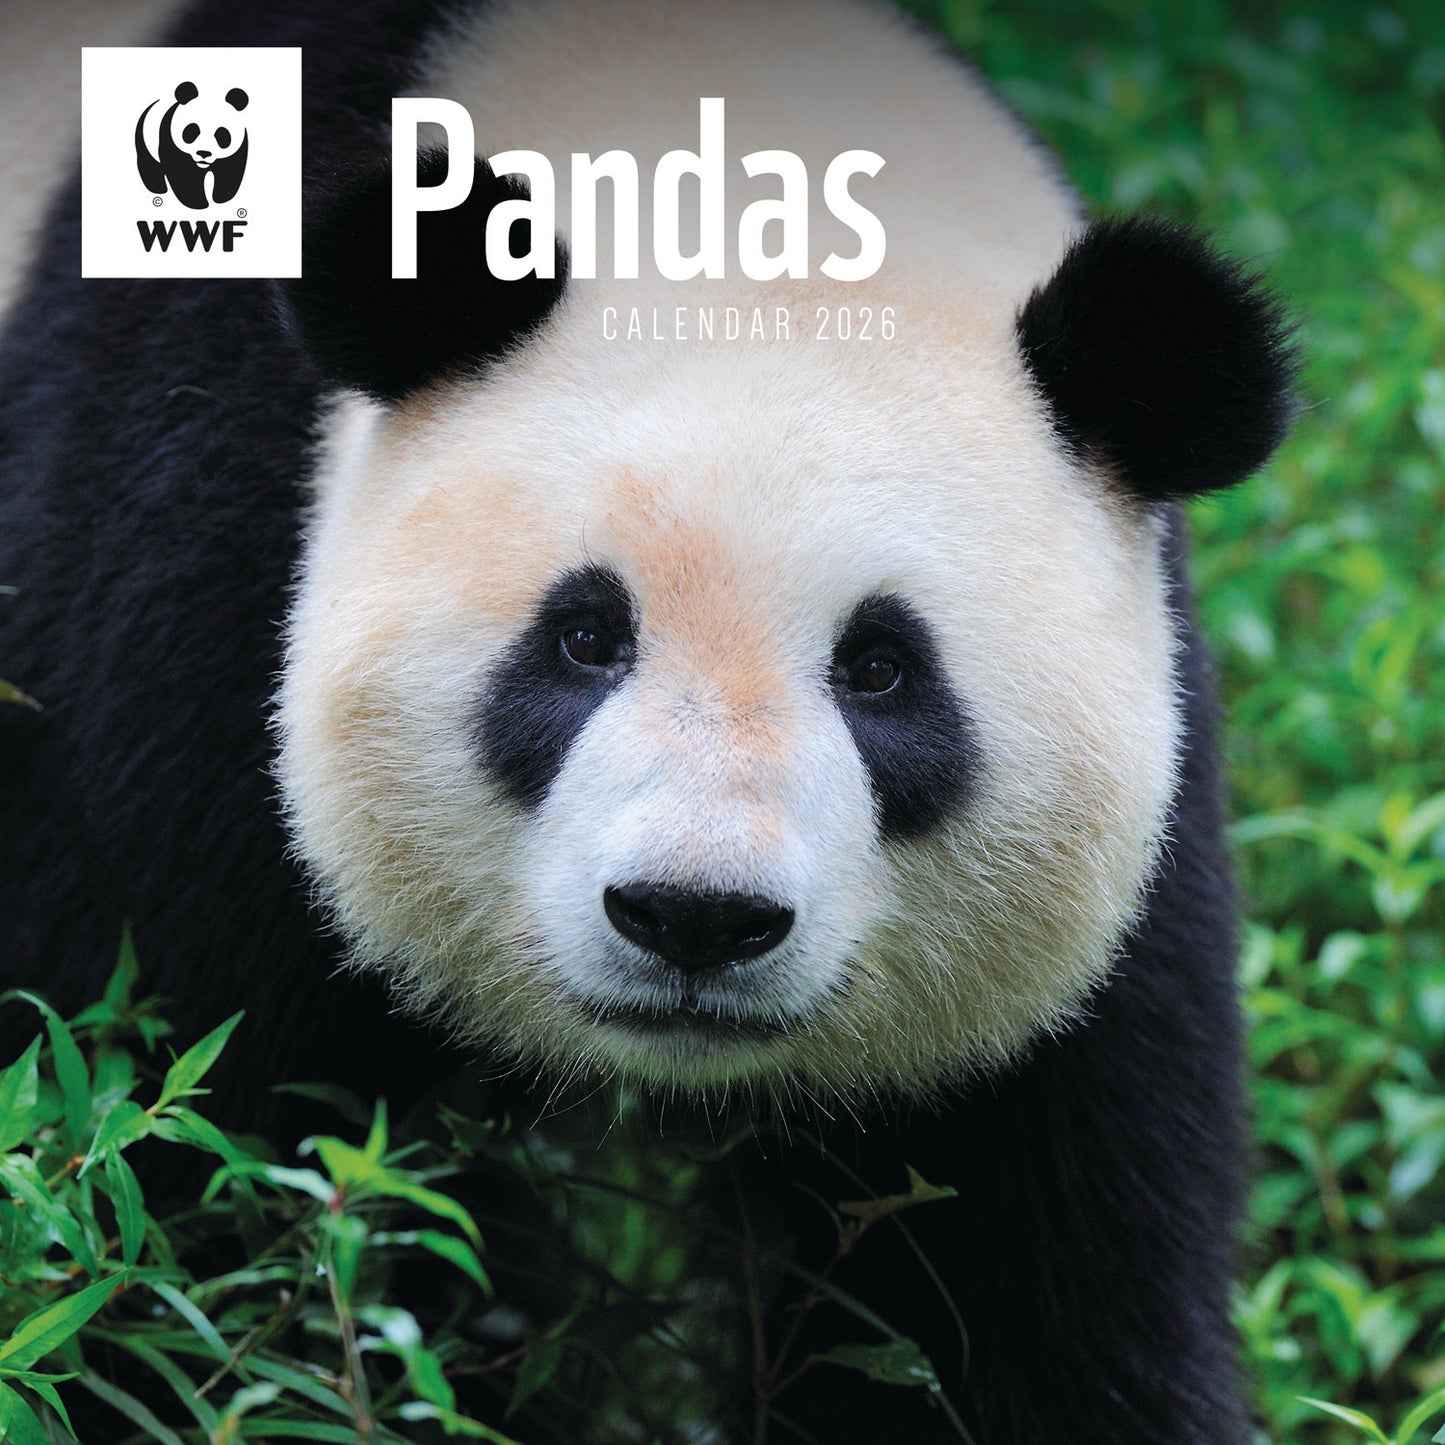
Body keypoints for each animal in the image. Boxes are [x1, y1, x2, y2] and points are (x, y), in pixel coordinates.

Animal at [134, 79, 250, 210]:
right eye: (192, 131)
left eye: (222, 134)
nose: (204, 153)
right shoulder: (171, 141)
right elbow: (185, 174)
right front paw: (198, 203)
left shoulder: (238, 148)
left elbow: (229, 169)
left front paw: (221, 199)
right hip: (143, 138)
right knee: (149, 164)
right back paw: (158, 189)